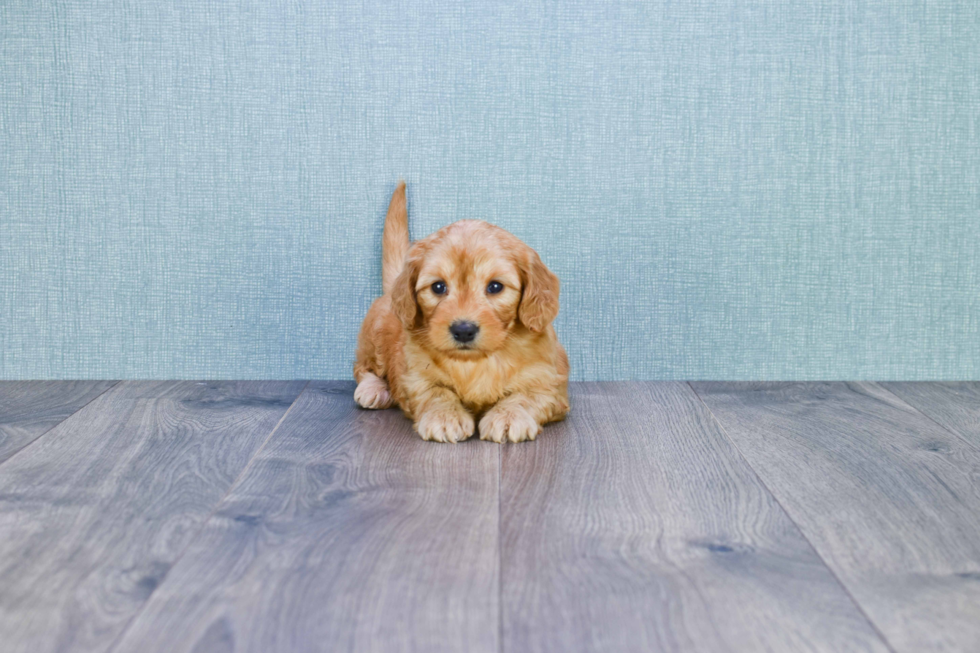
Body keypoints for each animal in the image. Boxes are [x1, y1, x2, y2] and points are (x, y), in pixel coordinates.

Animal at [352, 181, 572, 440]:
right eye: (438, 286)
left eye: (495, 286)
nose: (464, 330)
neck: (477, 361)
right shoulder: (415, 376)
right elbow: (436, 392)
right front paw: (445, 417)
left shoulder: (549, 382)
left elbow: (526, 396)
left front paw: (508, 417)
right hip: (373, 336)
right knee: (363, 367)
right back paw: (373, 389)